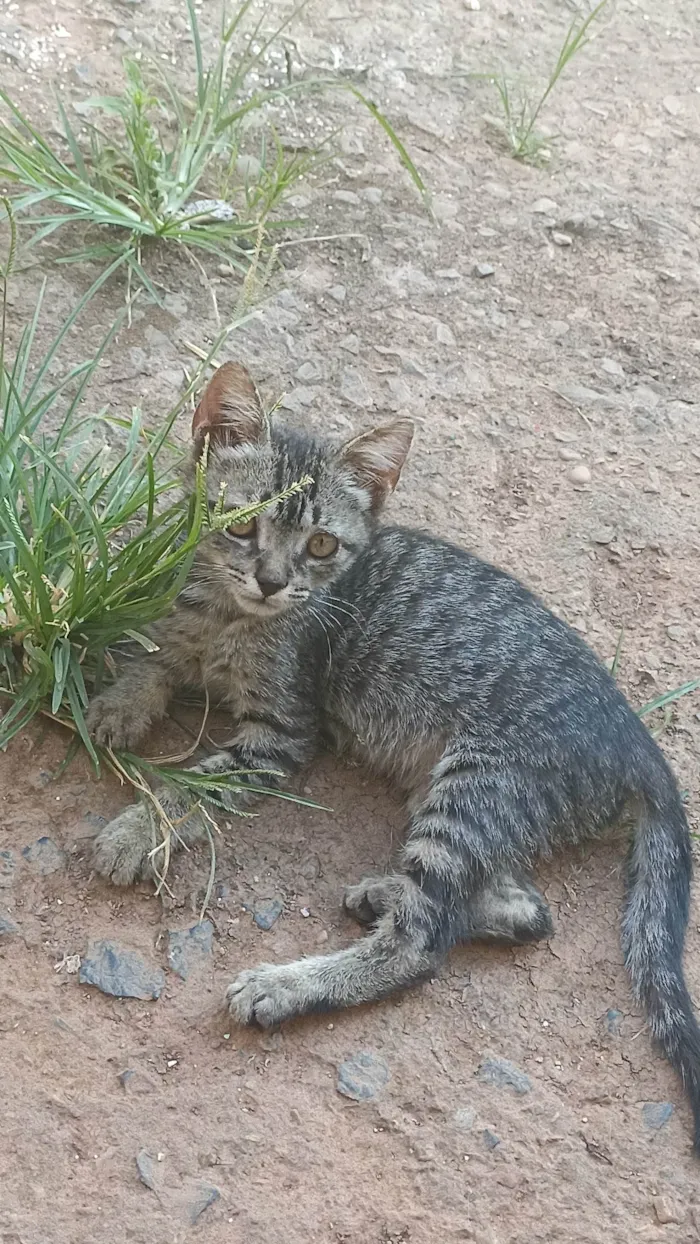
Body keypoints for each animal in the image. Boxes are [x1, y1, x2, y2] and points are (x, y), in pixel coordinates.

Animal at [87, 363, 700, 1149]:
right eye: (243, 521)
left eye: (321, 546)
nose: (272, 581)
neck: (227, 615)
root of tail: (638, 741)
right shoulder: (186, 623)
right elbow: (159, 652)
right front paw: (120, 702)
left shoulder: (282, 731)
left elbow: (198, 785)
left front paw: (138, 829)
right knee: (524, 910)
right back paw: (392, 893)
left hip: (475, 787)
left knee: (425, 940)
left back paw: (291, 984)